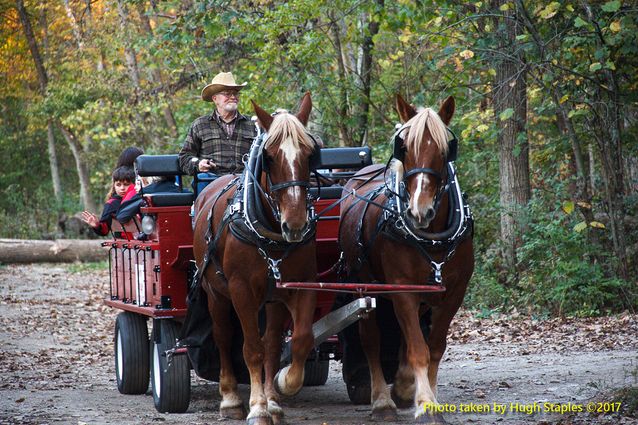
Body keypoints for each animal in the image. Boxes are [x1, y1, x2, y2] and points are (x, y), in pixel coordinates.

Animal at [191, 92, 318, 424]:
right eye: (269, 157)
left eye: (310, 154)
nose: (295, 224)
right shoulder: (241, 290)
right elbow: (251, 349)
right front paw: (257, 407)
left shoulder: (301, 285)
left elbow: (298, 340)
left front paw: (280, 389)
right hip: (215, 294)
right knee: (223, 337)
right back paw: (230, 398)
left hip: (272, 299)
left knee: (272, 342)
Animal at [340, 94, 476, 422]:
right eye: (404, 147)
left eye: (445, 149)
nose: (419, 211)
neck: (433, 236)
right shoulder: (402, 288)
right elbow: (418, 349)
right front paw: (426, 405)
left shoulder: (454, 292)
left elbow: (434, 347)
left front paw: (424, 396)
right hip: (364, 285)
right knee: (370, 339)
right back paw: (382, 401)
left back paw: (401, 388)